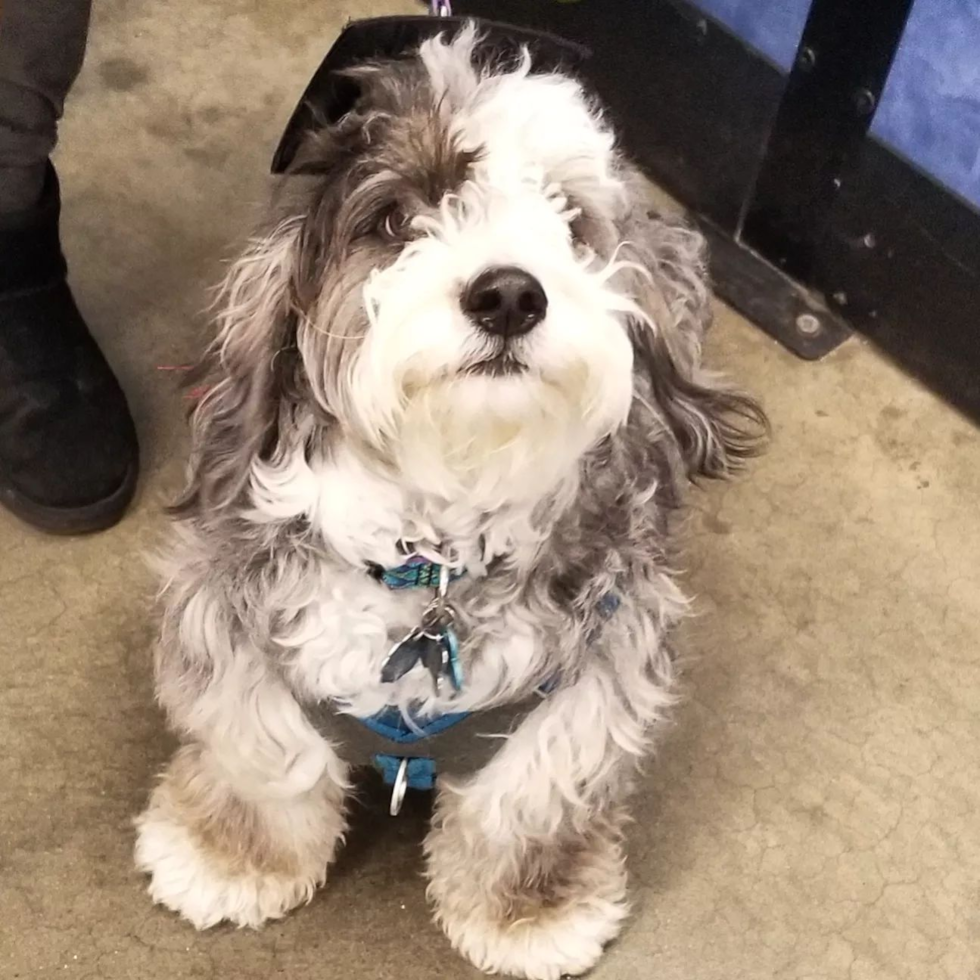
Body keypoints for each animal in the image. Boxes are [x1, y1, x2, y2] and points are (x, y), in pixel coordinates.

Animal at [134, 23, 764, 980]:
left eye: (569, 223)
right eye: (399, 221)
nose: (509, 293)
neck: (432, 561)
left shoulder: (589, 682)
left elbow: (529, 809)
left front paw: (530, 916)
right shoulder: (234, 632)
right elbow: (264, 765)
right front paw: (225, 859)